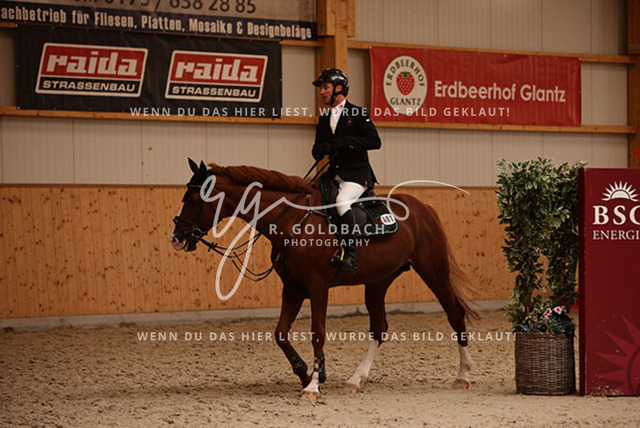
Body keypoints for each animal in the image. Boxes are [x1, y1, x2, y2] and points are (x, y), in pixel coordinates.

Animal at [170, 159, 480, 401]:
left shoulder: (318, 286)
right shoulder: (293, 288)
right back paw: (355, 380)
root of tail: (423, 208)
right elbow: (280, 333)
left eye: (194, 200)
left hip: (434, 272)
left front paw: (313, 385)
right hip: (378, 282)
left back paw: (463, 375)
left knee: (455, 314)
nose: (176, 238)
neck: (293, 219)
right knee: (379, 329)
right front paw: (306, 374)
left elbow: (317, 332)